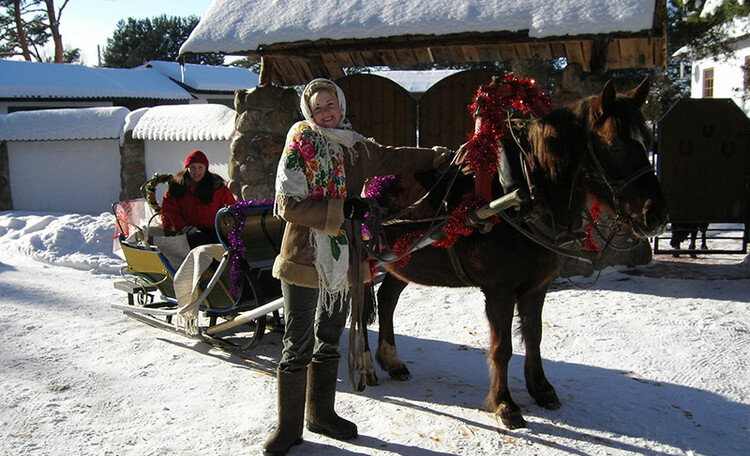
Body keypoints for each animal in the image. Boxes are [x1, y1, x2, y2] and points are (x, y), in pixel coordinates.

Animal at [358, 76, 668, 430]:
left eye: (648, 140)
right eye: (615, 145)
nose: (656, 215)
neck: (521, 194)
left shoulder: (537, 287)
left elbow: (534, 336)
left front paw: (541, 388)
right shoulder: (499, 291)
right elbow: (502, 347)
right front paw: (505, 403)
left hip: (404, 258)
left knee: (387, 299)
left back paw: (391, 360)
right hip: (365, 258)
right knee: (359, 308)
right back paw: (366, 365)